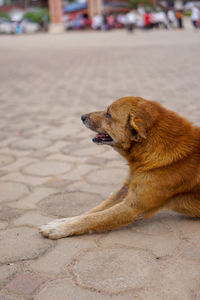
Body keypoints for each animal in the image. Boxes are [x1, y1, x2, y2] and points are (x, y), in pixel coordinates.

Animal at [39, 97, 200, 240]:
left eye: (108, 114)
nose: (82, 116)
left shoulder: (132, 207)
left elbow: (95, 218)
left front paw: (59, 228)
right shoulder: (126, 189)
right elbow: (93, 211)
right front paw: (63, 221)